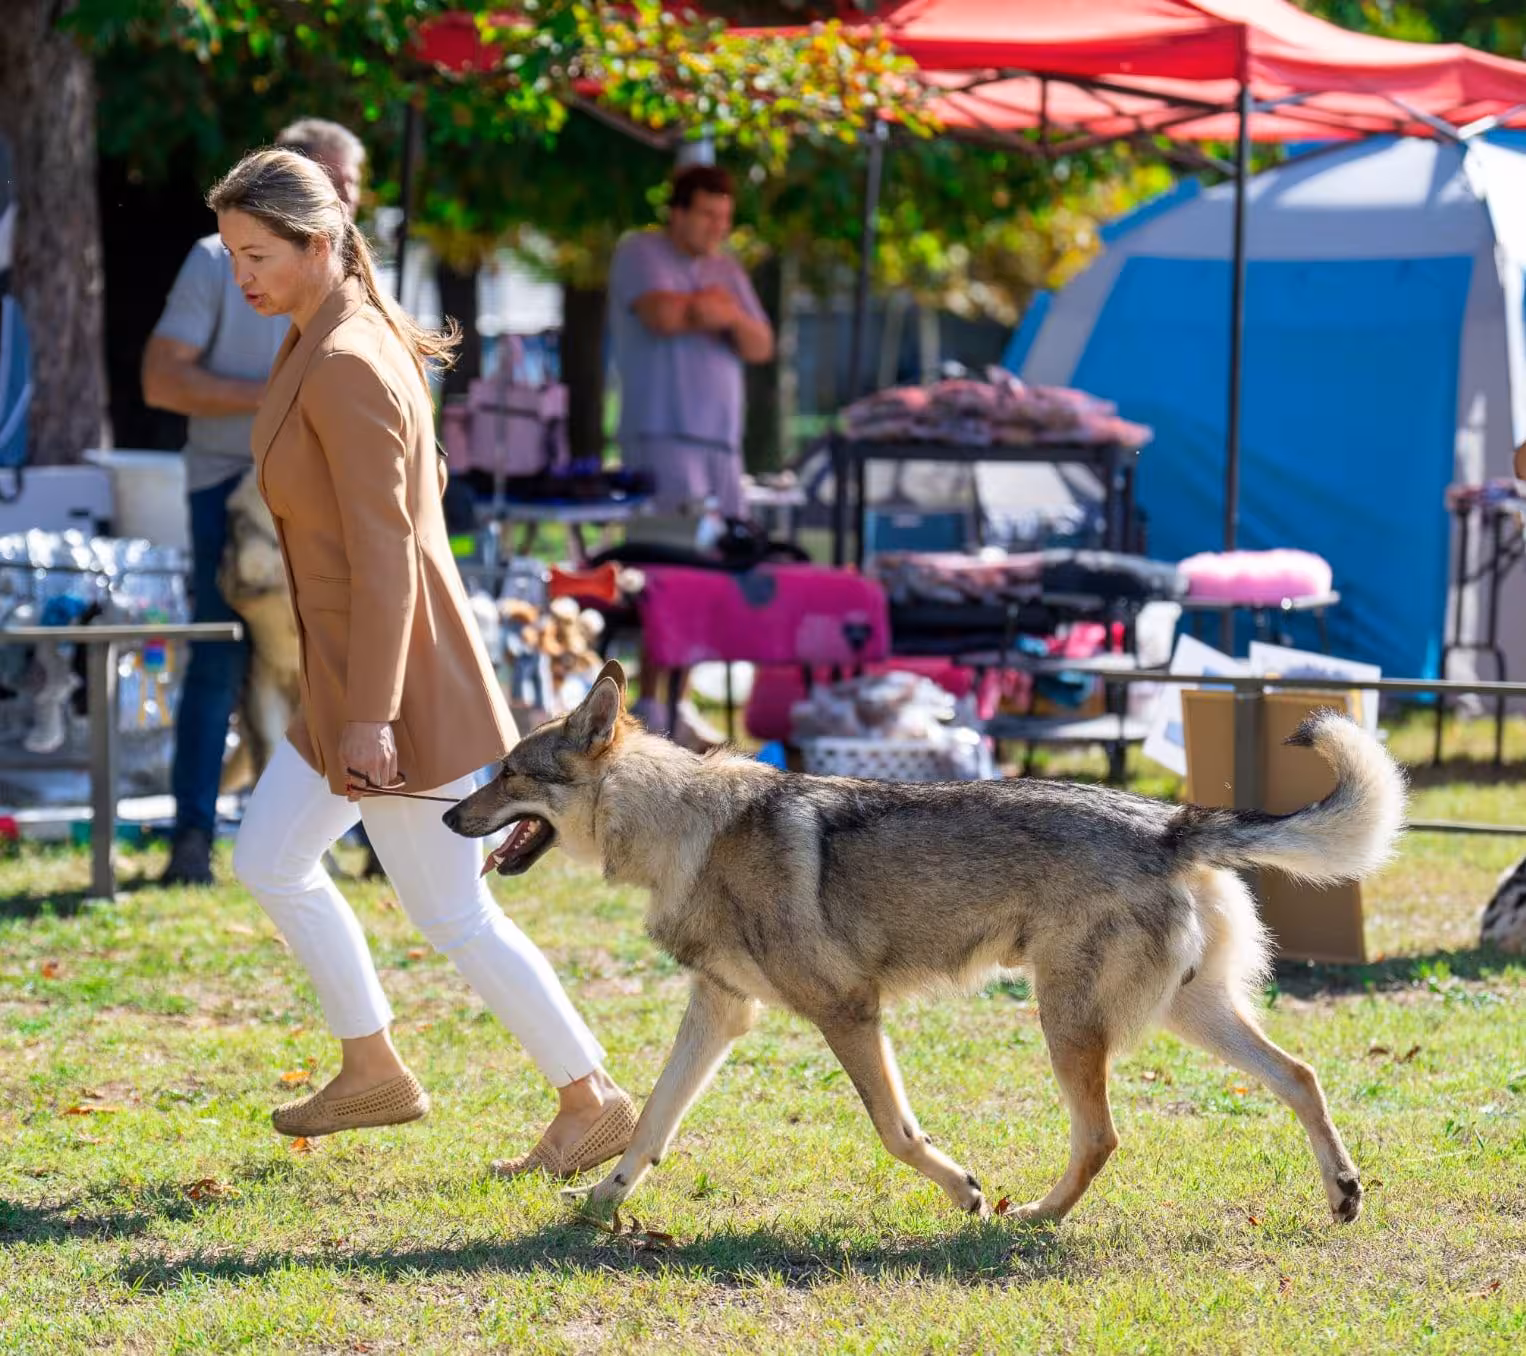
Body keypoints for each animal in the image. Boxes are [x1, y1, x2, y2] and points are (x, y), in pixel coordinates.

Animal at [444, 661, 1406, 1225]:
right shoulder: (722, 1013)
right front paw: (597, 1204)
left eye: (509, 772)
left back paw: (1033, 1217)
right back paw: (1343, 1192)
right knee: (1301, 1076)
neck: (689, 827)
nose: (447, 816)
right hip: (1184, 1016)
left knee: (1102, 1138)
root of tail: (1173, 822)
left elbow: (896, 1131)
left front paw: (966, 1191)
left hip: (1067, 1027)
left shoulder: (847, 1013)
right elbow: (650, 1123)